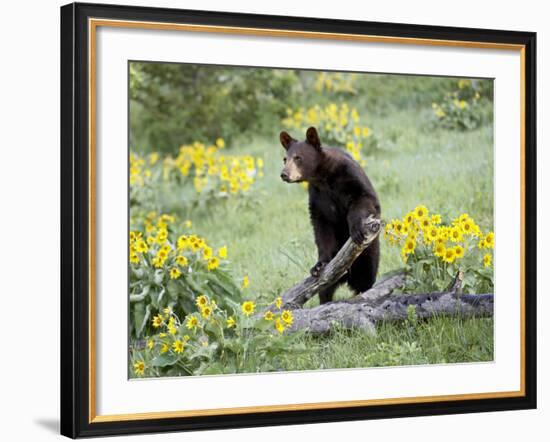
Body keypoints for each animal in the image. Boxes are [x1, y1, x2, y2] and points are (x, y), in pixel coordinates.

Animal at [282, 126, 382, 302]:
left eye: (298, 158)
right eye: (284, 159)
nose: (284, 174)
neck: (323, 177)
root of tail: (347, 278)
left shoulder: (350, 175)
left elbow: (364, 198)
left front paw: (356, 230)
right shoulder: (317, 196)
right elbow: (322, 226)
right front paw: (319, 265)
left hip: (369, 254)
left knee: (367, 277)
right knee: (325, 290)